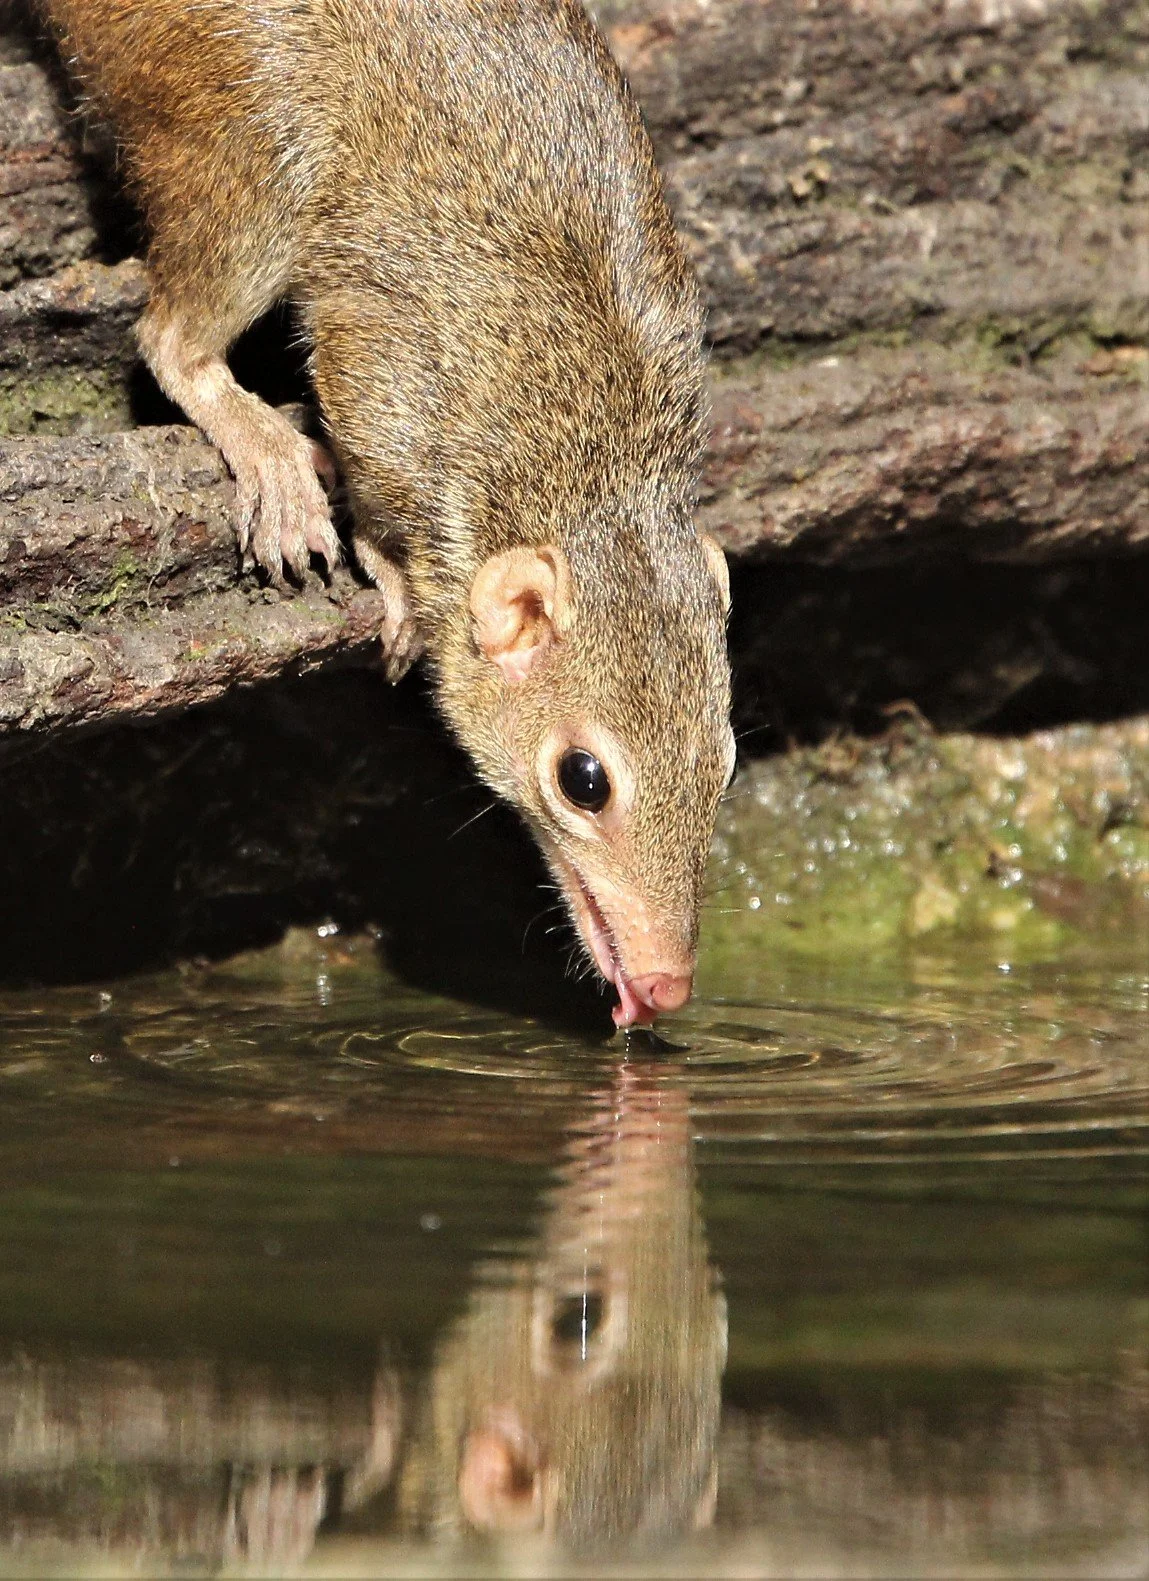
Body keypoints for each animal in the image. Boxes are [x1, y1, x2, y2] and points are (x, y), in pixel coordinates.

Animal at [39, 0, 735, 1028]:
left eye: (723, 764)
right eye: (583, 781)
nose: (666, 985)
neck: (588, 438)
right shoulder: (383, 382)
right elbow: (370, 490)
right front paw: (391, 570)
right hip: (245, 147)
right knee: (169, 337)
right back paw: (270, 452)